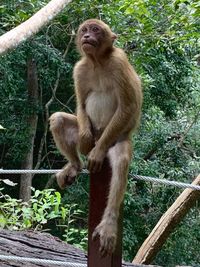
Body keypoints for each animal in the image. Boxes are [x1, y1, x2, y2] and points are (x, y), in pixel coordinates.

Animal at [50, 19, 144, 258]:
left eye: (96, 30)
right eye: (85, 30)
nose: (87, 37)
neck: (98, 62)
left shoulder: (119, 61)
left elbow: (128, 106)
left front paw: (97, 153)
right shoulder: (80, 68)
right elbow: (82, 104)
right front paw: (84, 141)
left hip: (115, 138)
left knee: (120, 161)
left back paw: (108, 224)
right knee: (58, 120)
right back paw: (75, 164)